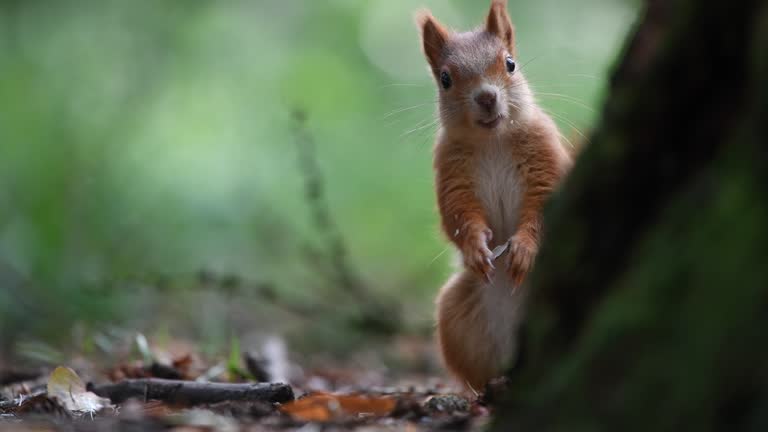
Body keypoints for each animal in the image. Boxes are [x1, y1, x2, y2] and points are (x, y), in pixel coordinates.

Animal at [416, 0, 572, 390]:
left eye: (510, 63)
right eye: (445, 79)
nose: (487, 97)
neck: (493, 141)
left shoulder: (546, 156)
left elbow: (543, 208)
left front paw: (524, 249)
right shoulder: (451, 174)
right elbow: (457, 215)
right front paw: (474, 246)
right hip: (453, 313)